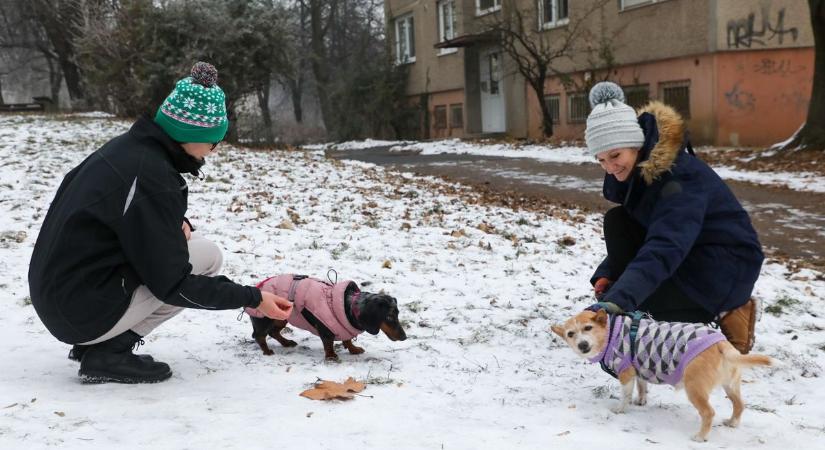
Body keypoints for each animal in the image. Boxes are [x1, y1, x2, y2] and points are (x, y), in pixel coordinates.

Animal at [552, 312, 772, 442]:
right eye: (570, 334)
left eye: (588, 328)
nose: (582, 345)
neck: (611, 332)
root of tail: (723, 345)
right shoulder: (638, 370)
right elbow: (642, 387)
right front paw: (641, 401)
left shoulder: (625, 373)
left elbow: (624, 396)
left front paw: (620, 409)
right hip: (731, 385)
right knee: (739, 404)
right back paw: (732, 423)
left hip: (695, 388)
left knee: (708, 413)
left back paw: (700, 437)